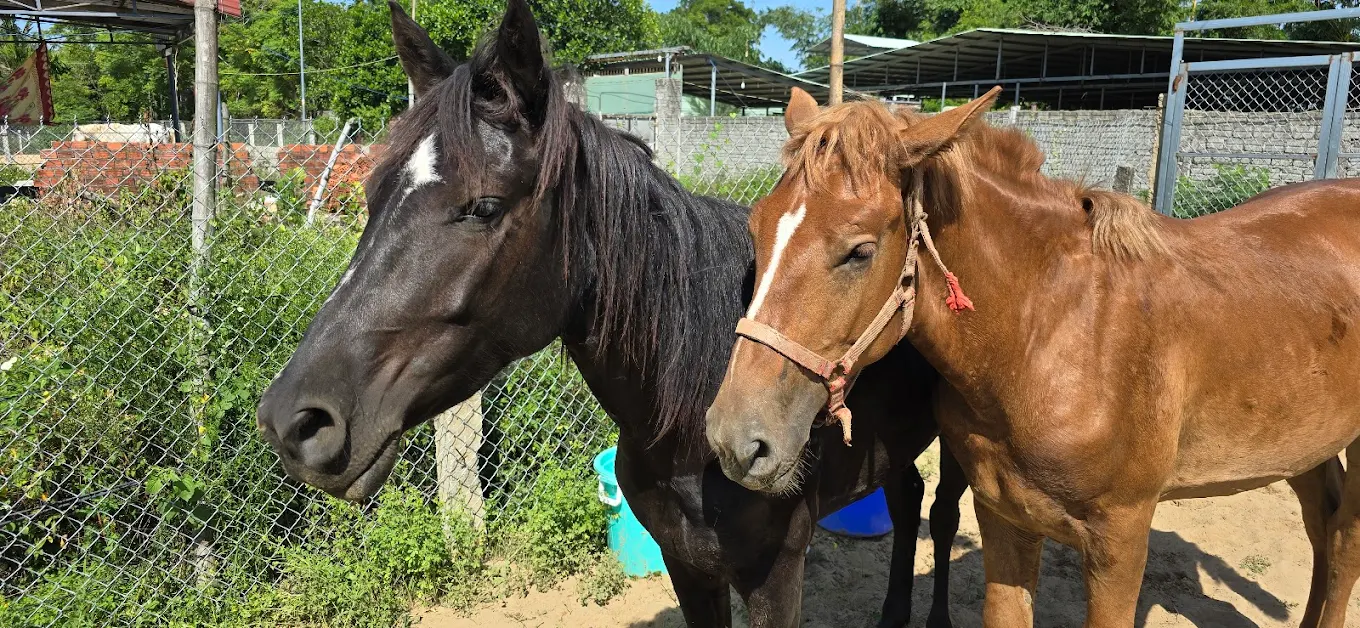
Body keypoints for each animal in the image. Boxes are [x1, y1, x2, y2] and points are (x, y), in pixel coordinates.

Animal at [255, 2, 966, 626]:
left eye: (483, 206)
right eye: (371, 197)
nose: (293, 421)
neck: (693, 406)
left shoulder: (776, 578)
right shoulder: (689, 567)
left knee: (943, 512)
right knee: (906, 501)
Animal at [704, 85, 1360, 628]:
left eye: (860, 251)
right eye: (757, 229)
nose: (735, 439)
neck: (1050, 334)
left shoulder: (1121, 541)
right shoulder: (1004, 518)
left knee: (1344, 542)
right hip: (1303, 444)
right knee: (1322, 528)